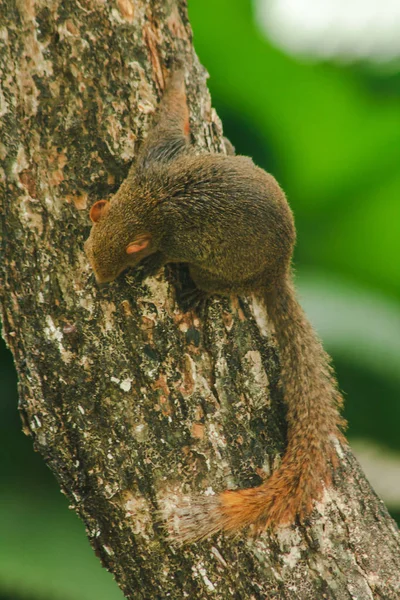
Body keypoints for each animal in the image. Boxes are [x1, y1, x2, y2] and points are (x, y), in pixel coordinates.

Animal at [83, 67, 344, 544]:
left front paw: (151, 266)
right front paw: (175, 74)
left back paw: (199, 293)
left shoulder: (175, 234)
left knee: (217, 285)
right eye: (91, 247)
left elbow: (166, 253)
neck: (148, 203)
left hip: (220, 273)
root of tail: (276, 272)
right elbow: (171, 117)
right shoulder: (156, 157)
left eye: (120, 260)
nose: (100, 279)